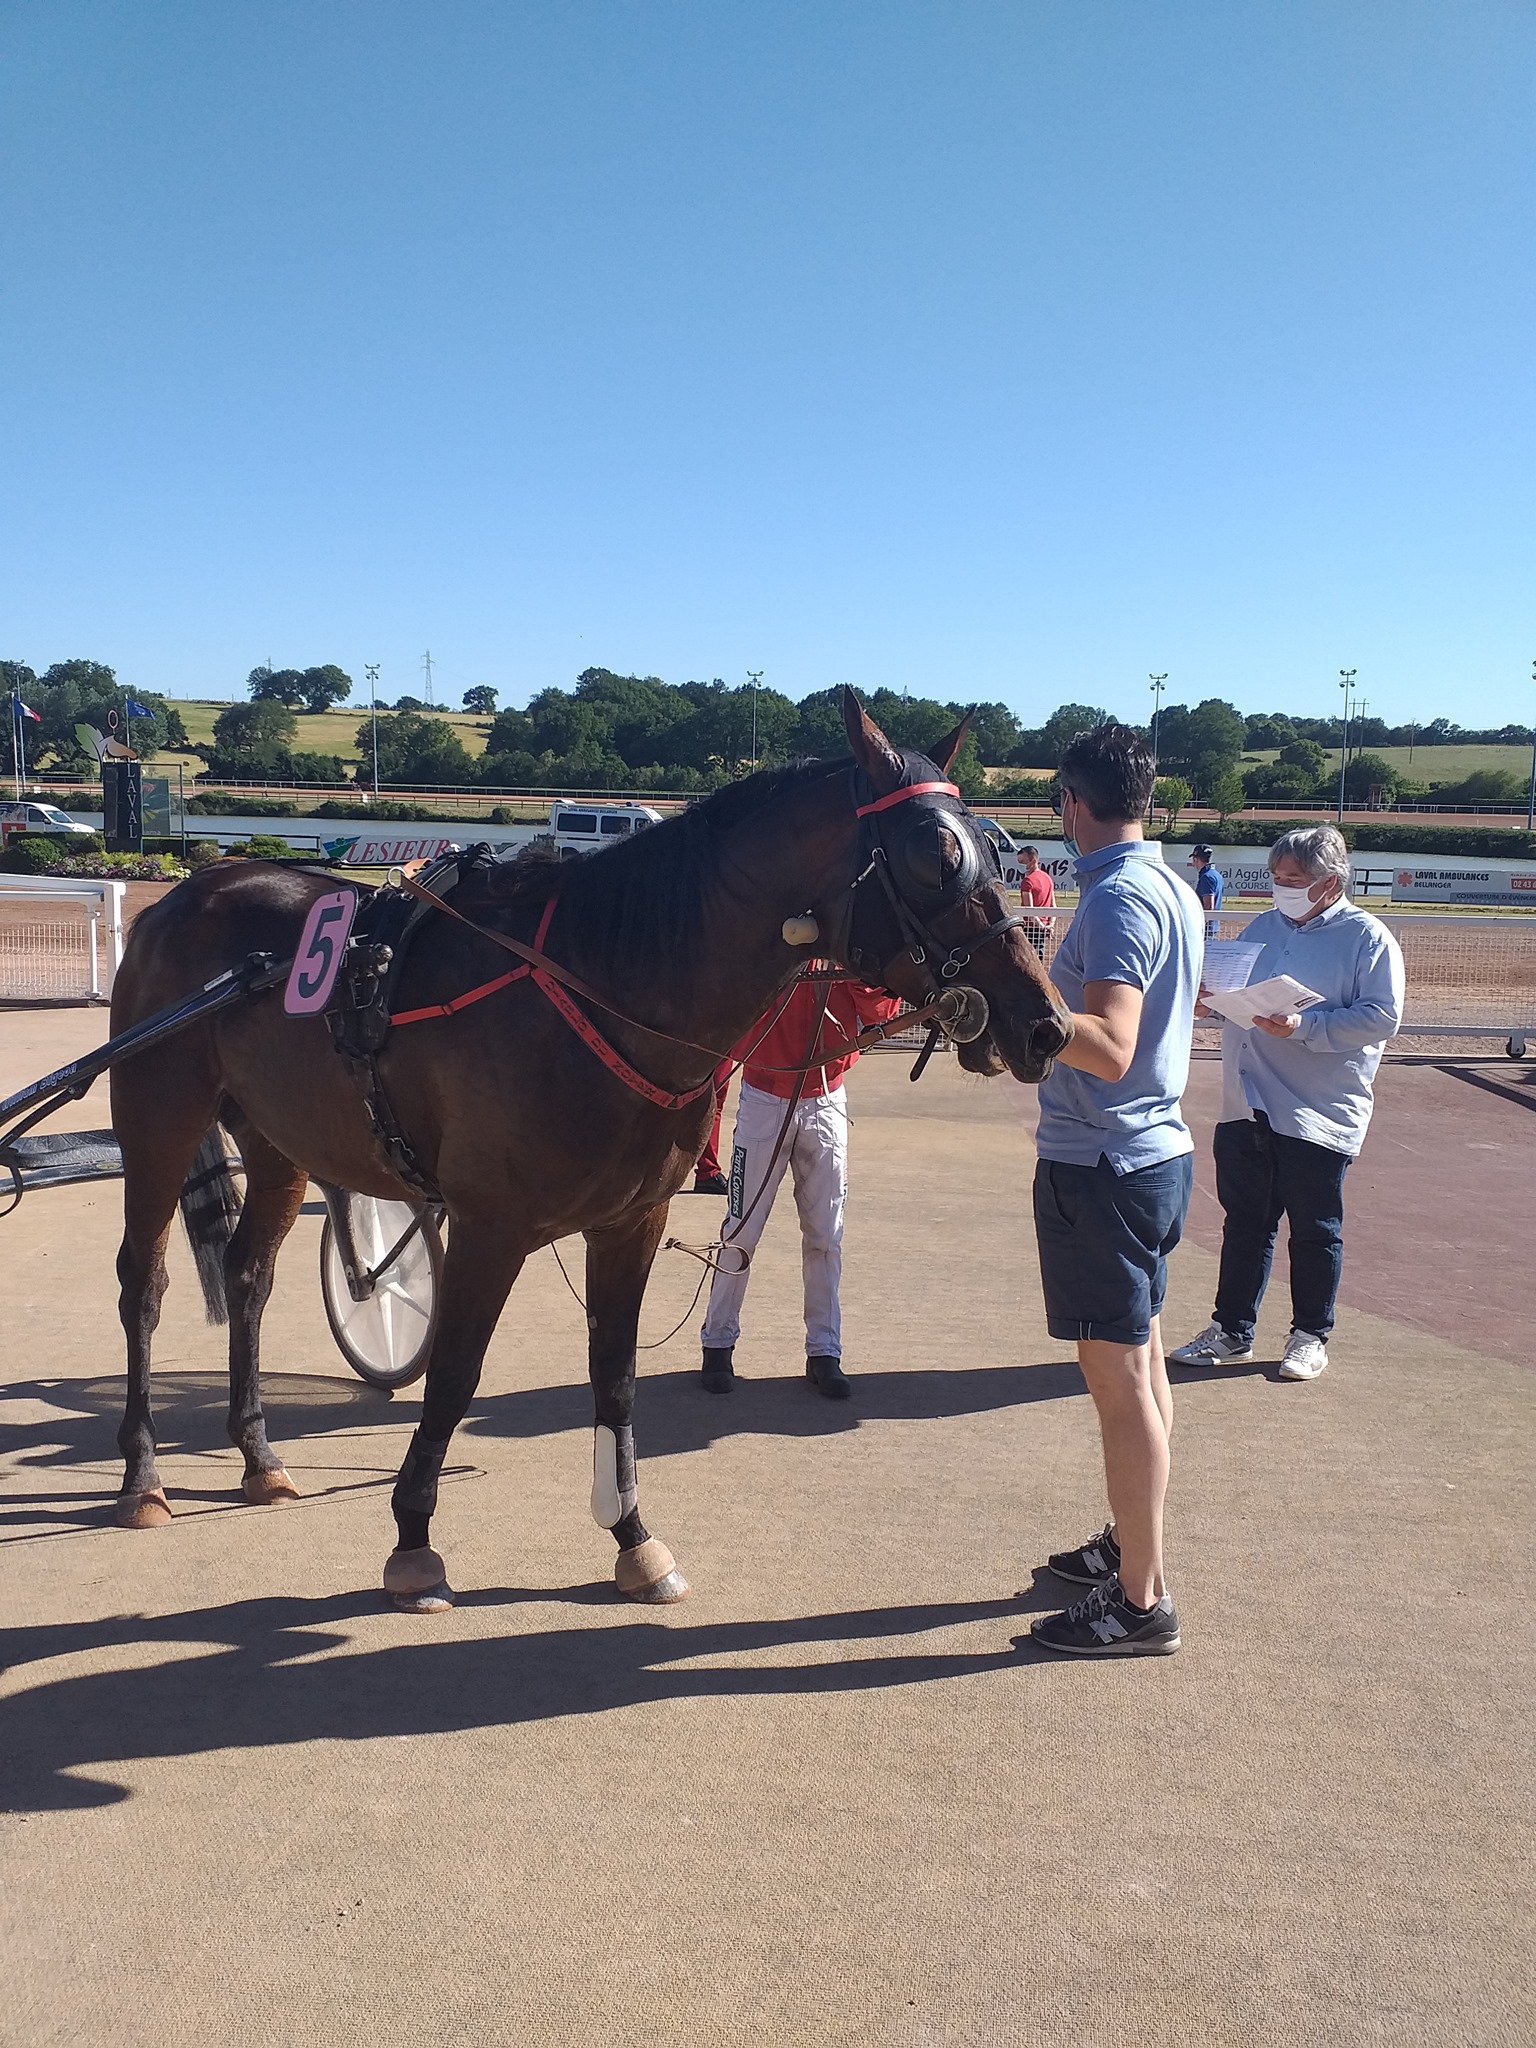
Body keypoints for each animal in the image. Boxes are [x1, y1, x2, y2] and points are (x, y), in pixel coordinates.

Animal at [108, 696, 1073, 1605]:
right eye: (934, 854)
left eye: (993, 853)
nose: (1045, 1024)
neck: (600, 980)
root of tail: (190, 891)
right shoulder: (489, 1226)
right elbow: (453, 1375)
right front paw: (414, 1541)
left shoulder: (629, 1222)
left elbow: (615, 1377)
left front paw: (634, 1540)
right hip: (157, 1119)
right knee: (143, 1284)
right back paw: (142, 1476)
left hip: (277, 1141)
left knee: (248, 1276)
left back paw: (259, 1457)